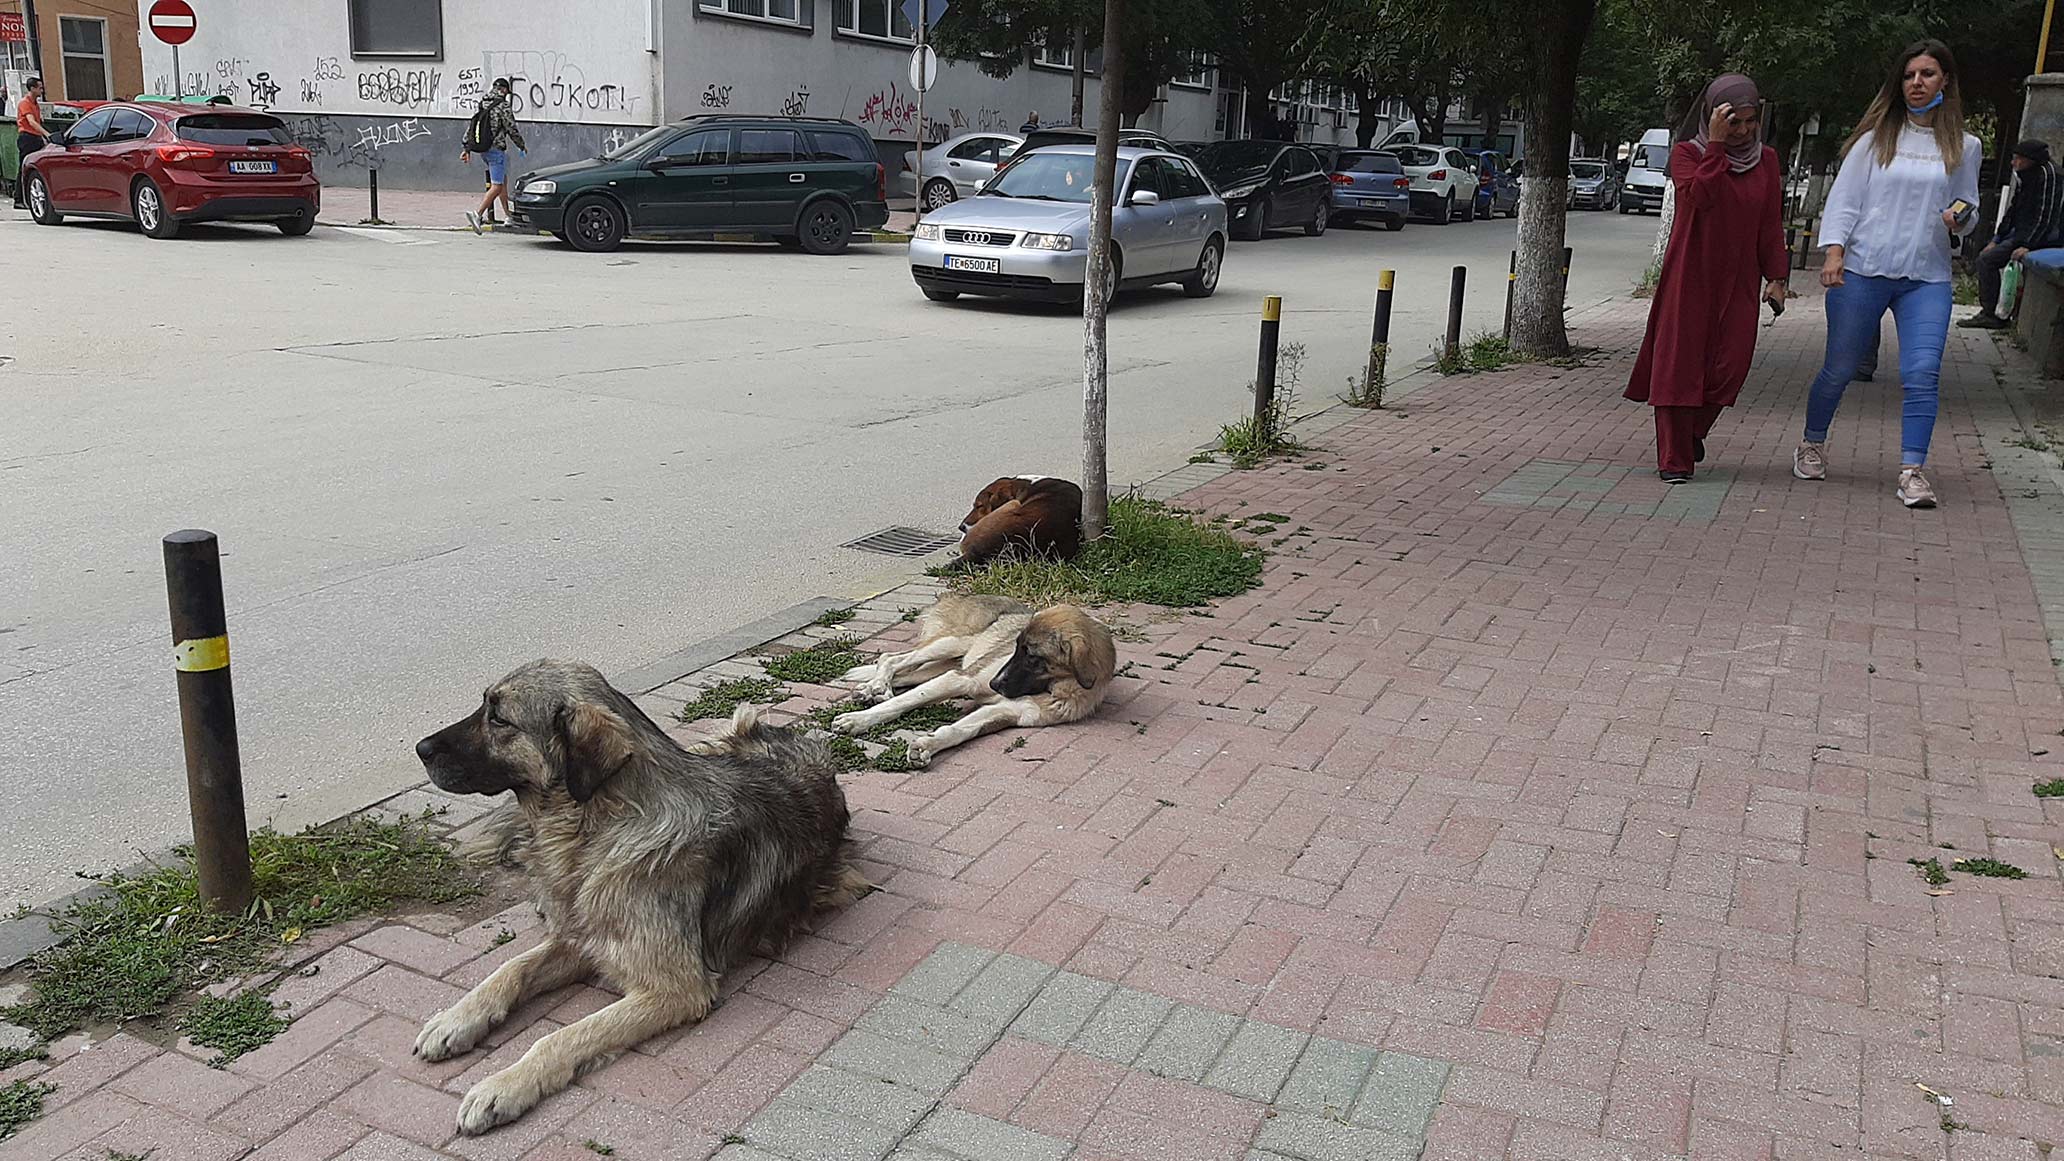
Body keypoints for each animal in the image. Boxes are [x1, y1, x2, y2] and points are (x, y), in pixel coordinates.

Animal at [410, 661, 871, 1132]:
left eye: (499, 719)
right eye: (486, 706)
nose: (420, 748)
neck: (596, 827)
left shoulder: (675, 989)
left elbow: (562, 1036)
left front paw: (503, 1086)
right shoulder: (581, 938)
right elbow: (510, 969)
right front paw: (456, 1020)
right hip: (710, 744)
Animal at [833, 590, 1122, 764]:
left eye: (1032, 657)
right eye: (1016, 647)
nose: (994, 684)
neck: (1055, 686)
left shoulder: (1007, 711)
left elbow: (959, 730)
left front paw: (928, 744)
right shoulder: (961, 679)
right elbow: (901, 703)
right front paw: (857, 720)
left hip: (943, 666)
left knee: (903, 673)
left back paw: (871, 689)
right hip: (951, 645)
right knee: (892, 659)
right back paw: (877, 687)